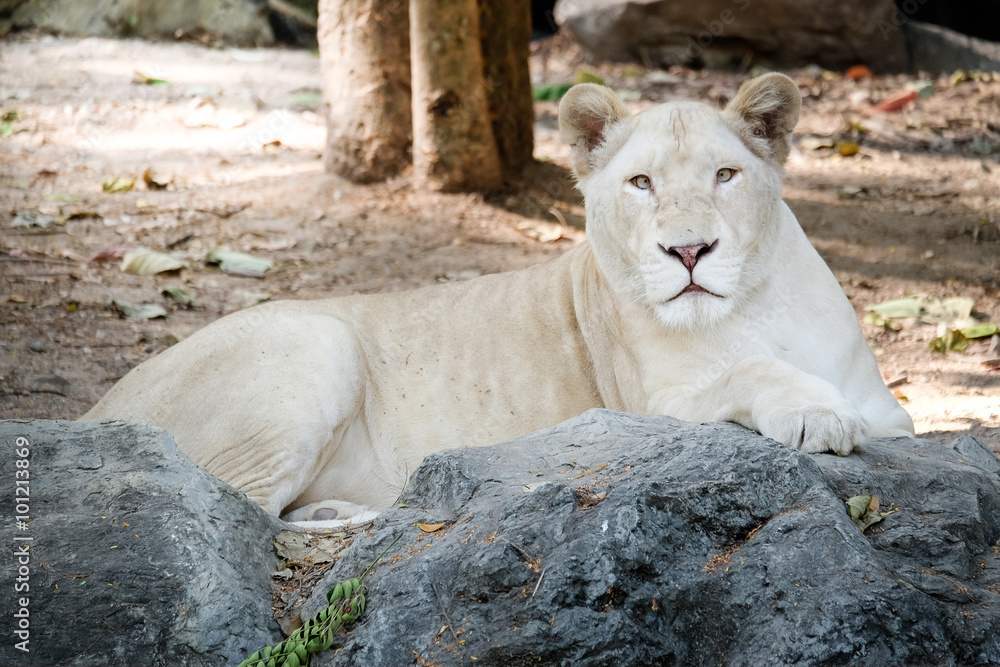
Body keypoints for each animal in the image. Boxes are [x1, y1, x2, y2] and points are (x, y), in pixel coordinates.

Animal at [82, 73, 914, 522]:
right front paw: (815, 414)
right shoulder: (648, 406)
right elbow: (748, 370)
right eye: (641, 183)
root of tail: (91, 410)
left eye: (726, 175)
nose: (688, 251)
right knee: (241, 506)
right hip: (318, 341)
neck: (754, 305)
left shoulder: (897, 415)